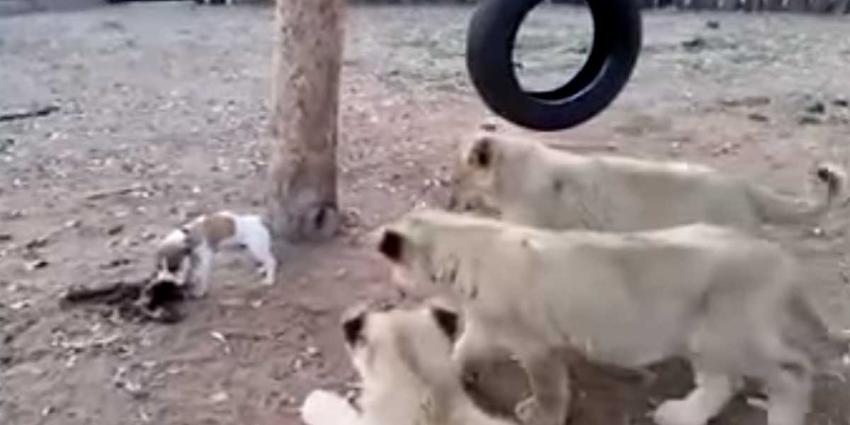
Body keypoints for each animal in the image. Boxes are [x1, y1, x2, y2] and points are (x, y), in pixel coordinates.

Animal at [374, 209, 844, 424]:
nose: (393, 294)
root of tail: (779, 255)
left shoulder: (536, 344)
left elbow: (548, 387)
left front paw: (540, 414)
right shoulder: (486, 326)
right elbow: (462, 354)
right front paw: (442, 384)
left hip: (730, 335)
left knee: (794, 371)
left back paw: (782, 418)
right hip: (706, 340)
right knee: (722, 382)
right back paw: (680, 414)